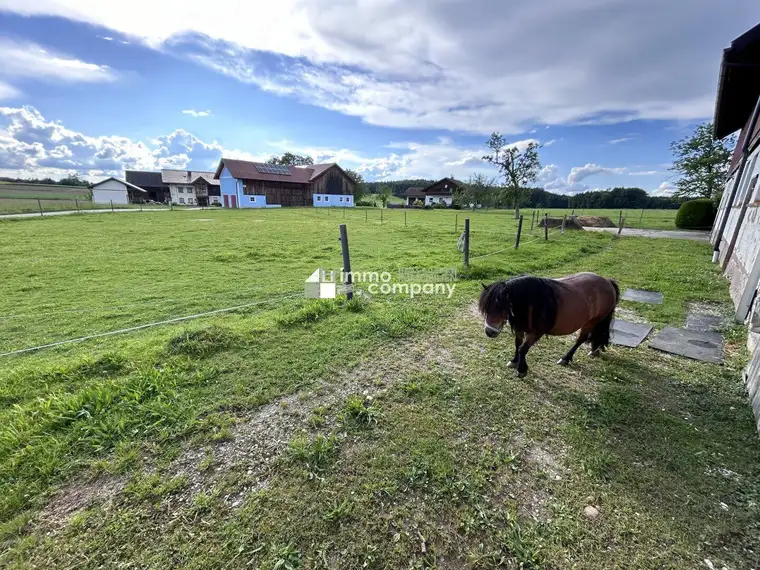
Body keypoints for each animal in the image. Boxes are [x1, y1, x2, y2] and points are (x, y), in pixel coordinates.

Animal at [480, 272, 616, 378]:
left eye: (502, 307)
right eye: (487, 309)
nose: (489, 331)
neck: (531, 302)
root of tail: (607, 281)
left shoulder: (536, 333)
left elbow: (523, 349)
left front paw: (522, 370)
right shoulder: (520, 328)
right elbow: (518, 345)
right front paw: (514, 361)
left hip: (591, 321)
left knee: (581, 339)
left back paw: (566, 358)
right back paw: (594, 350)